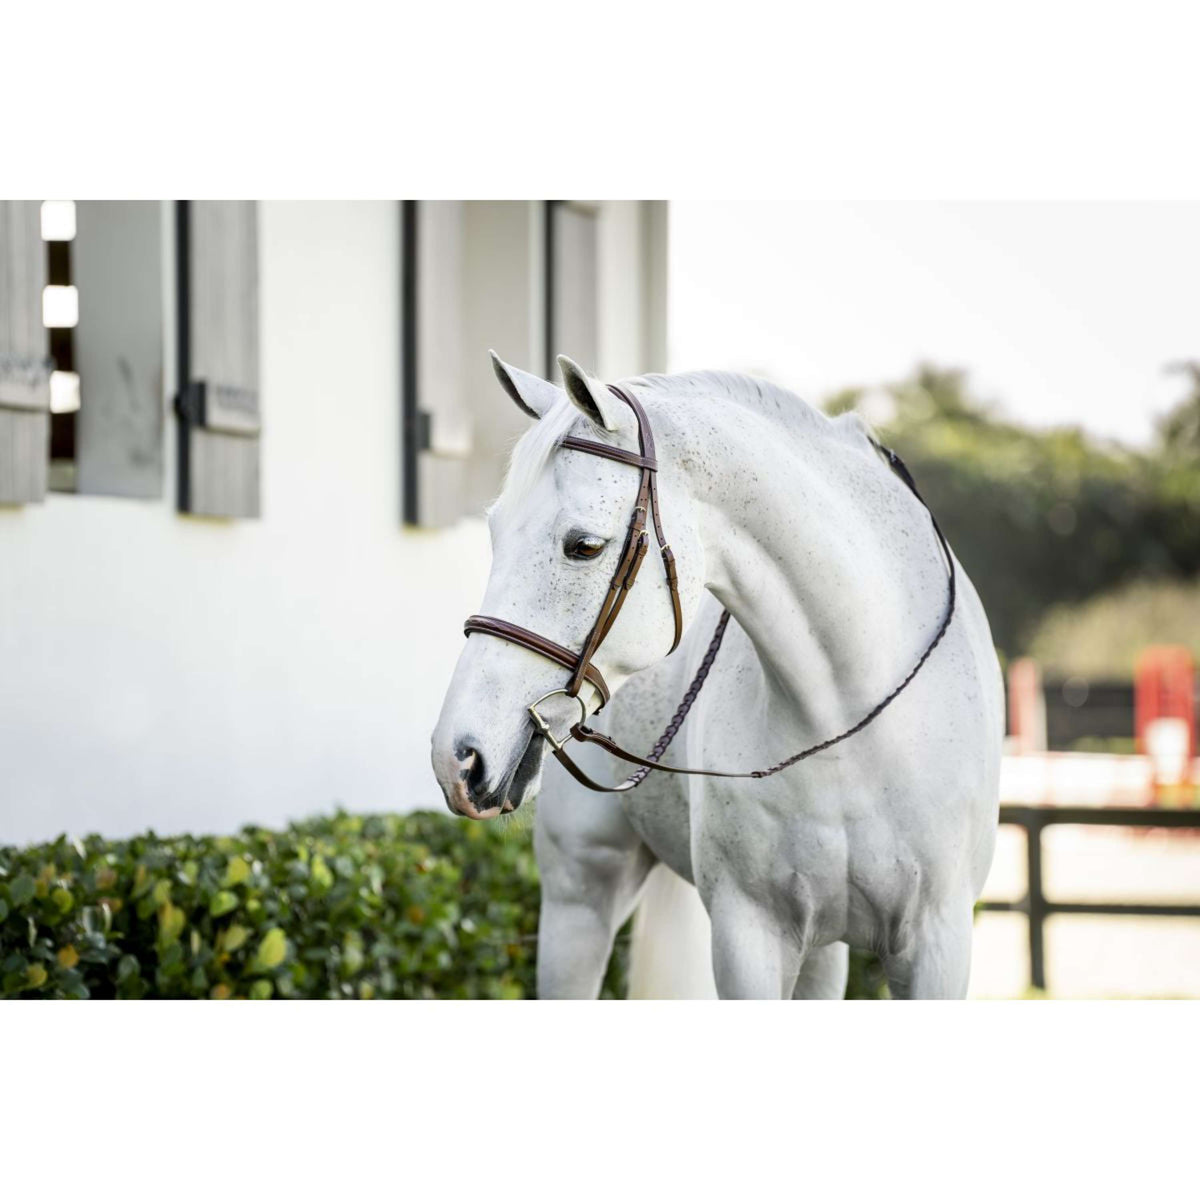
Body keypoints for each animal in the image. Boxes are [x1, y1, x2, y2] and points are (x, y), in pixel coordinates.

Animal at [431, 353, 1003, 999]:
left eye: (584, 546)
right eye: (494, 531)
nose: (458, 757)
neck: (850, 724)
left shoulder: (937, 944)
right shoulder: (749, 935)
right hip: (581, 895)